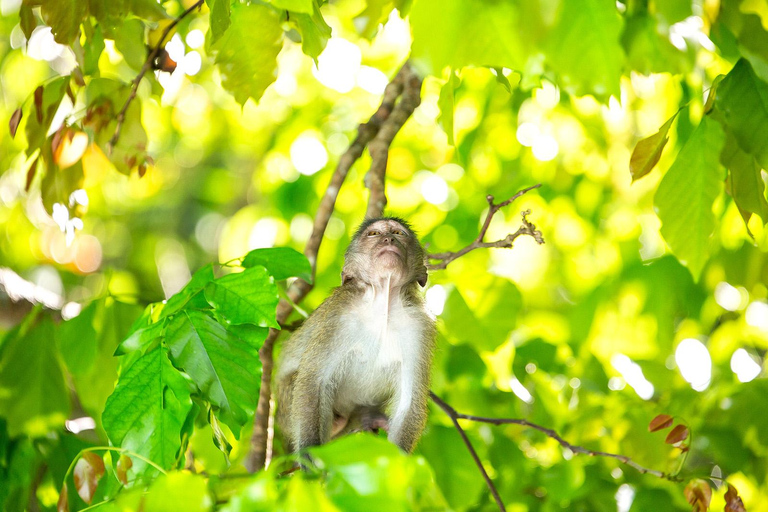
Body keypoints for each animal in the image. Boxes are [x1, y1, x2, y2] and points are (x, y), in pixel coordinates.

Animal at [276, 215, 436, 452]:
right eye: (374, 234)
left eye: (398, 233)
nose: (388, 239)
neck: (383, 308)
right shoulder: (339, 313)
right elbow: (313, 383)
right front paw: (309, 456)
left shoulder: (420, 327)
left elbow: (409, 403)